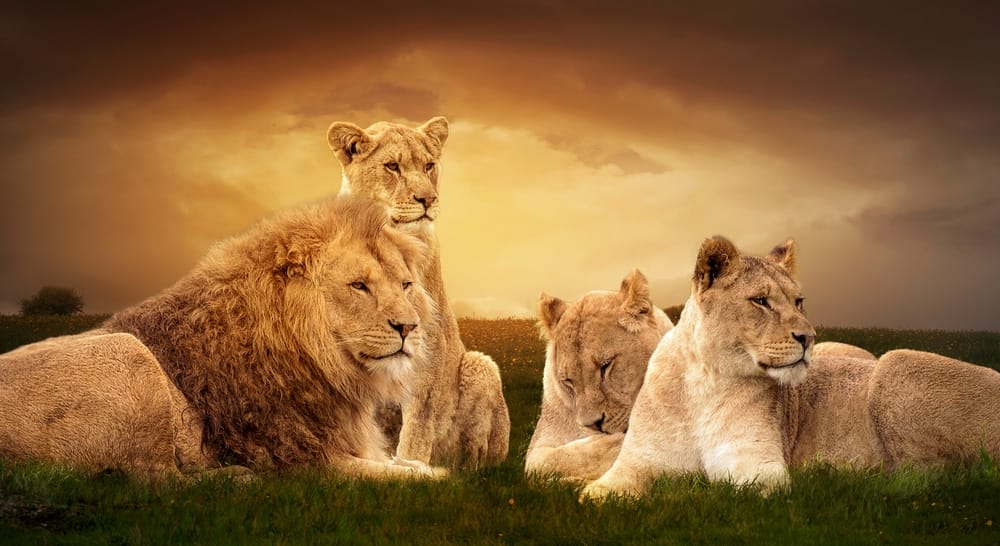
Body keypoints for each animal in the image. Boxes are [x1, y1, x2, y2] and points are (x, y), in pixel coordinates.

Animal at [0, 197, 447, 480]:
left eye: (406, 285)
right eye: (359, 286)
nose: (409, 327)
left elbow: (412, 467)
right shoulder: (304, 460)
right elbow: (422, 480)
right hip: (127, 353)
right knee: (156, 480)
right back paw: (236, 478)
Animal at [327, 116, 510, 467]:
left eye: (428, 166)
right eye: (392, 166)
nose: (428, 199)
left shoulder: (428, 344)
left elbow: (418, 425)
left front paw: (411, 466)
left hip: (481, 366)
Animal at [582, 236, 1000, 501]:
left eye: (799, 301)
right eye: (761, 301)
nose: (809, 337)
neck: (704, 379)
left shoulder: (758, 466)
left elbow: (707, 486)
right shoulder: (639, 460)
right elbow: (600, 492)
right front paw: (591, 489)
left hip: (895, 363)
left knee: (936, 476)